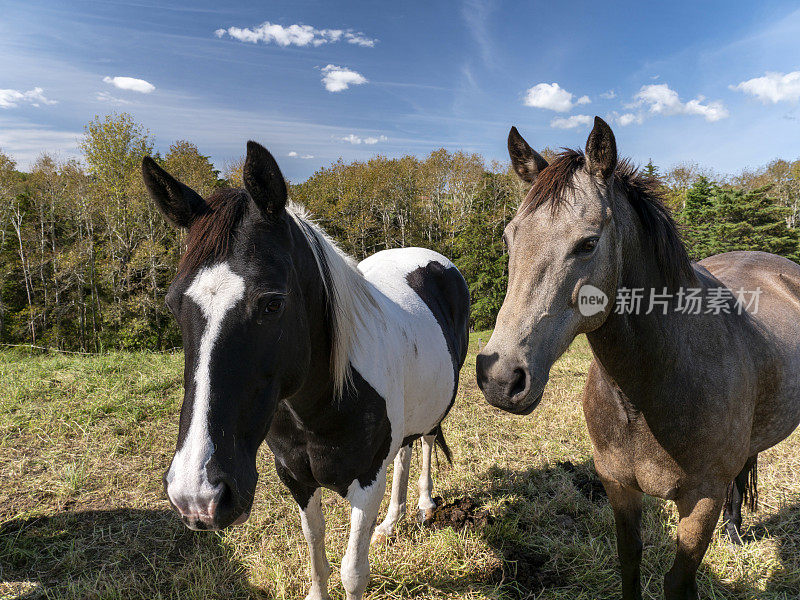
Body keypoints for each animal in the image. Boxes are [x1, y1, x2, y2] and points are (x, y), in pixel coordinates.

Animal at [143, 142, 468, 600]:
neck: (321, 404)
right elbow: (315, 547)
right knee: (405, 450)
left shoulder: (366, 483)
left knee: (425, 441)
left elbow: (353, 571)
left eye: (273, 303)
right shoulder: (296, 479)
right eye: (173, 305)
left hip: (437, 407)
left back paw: (423, 505)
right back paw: (392, 522)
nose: (197, 496)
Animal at [478, 117, 800, 600]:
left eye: (588, 243)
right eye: (508, 237)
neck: (649, 388)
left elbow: (678, 580)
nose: (500, 377)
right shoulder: (618, 484)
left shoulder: (700, 500)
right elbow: (629, 561)